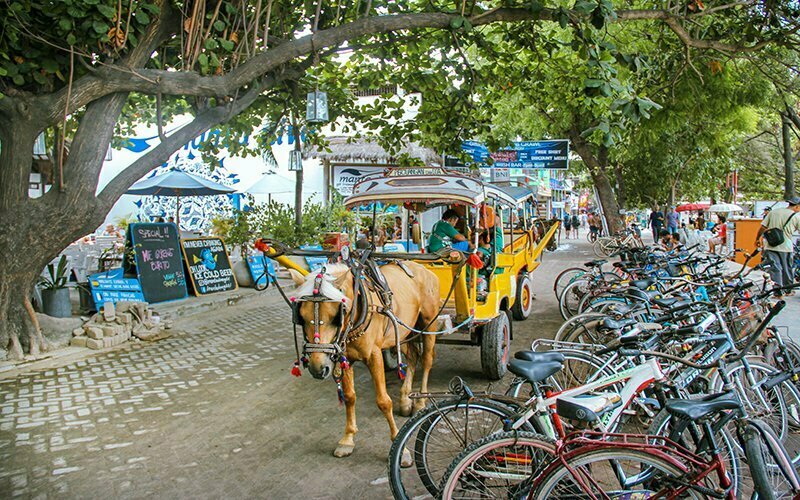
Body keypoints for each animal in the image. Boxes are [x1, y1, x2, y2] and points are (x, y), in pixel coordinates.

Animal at [288, 262, 438, 460]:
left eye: (336, 316)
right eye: (301, 317)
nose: (318, 368)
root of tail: (423, 268)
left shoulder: (374, 355)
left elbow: (383, 401)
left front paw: (400, 447)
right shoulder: (343, 357)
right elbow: (349, 397)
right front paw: (347, 439)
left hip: (428, 323)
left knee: (427, 360)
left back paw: (420, 401)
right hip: (403, 331)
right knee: (413, 356)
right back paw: (406, 400)